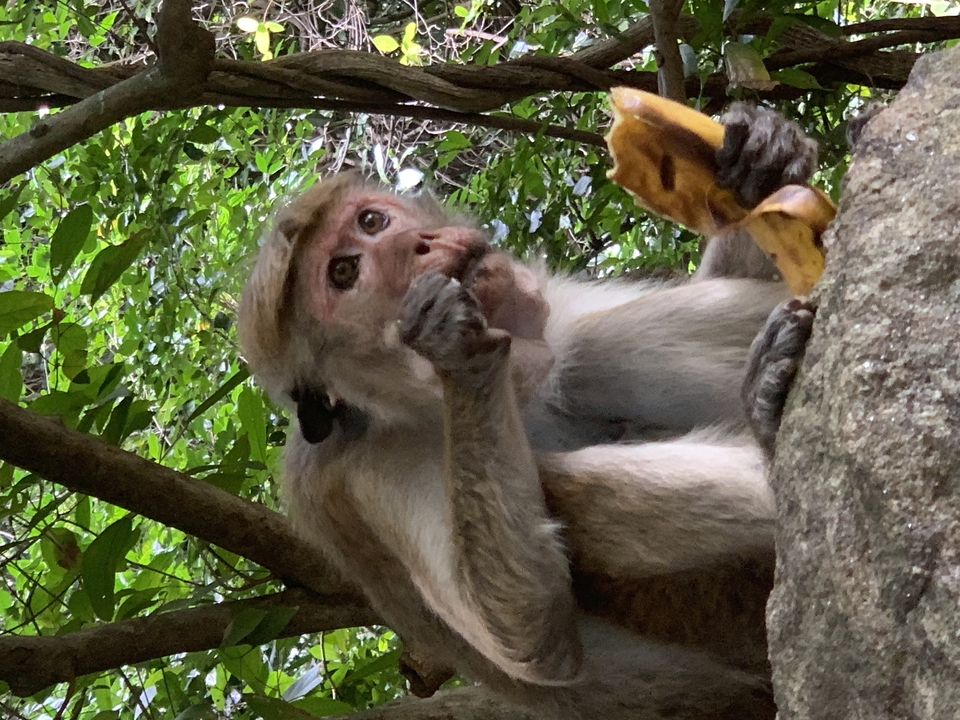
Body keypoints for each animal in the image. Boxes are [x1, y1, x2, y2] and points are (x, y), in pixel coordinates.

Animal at [237, 103, 818, 719]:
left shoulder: (546, 311)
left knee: (596, 352)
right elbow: (531, 634)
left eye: (372, 222)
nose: (421, 242)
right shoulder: (372, 467)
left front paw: (764, 155)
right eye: (344, 273)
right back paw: (773, 429)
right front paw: (456, 351)